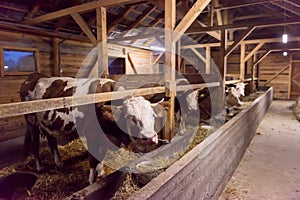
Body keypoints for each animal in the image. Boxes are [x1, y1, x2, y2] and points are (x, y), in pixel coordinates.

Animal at [20, 72, 164, 184]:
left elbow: (101, 156)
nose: (150, 138)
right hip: (31, 121)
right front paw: (92, 180)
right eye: (130, 116)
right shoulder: (90, 135)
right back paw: (39, 167)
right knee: (35, 144)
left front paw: (101, 172)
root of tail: (34, 76)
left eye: (152, 115)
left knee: (52, 141)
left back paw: (59, 163)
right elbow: (92, 161)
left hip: (49, 124)